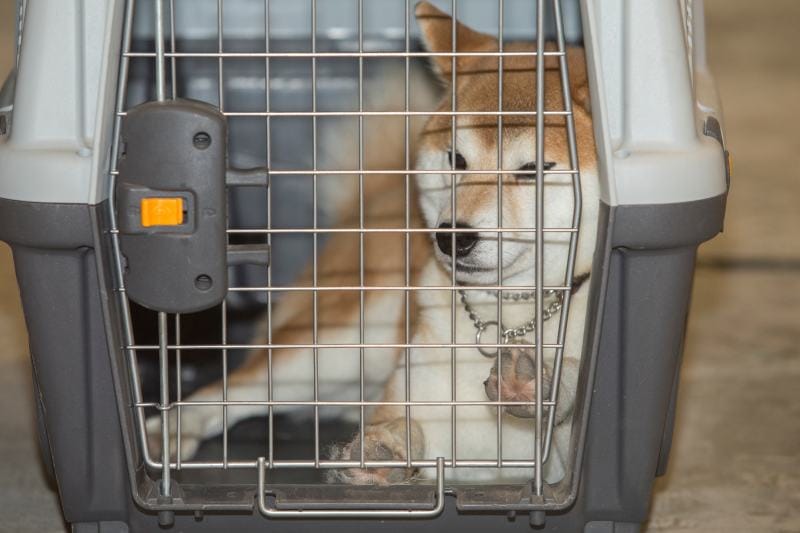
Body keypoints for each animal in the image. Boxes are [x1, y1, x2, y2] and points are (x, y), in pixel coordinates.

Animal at [152, 1, 600, 486]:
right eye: (457, 159)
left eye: (533, 169)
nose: (452, 237)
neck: (511, 314)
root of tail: (377, 197)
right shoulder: (416, 398)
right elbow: (403, 424)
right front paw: (382, 449)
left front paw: (541, 381)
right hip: (336, 346)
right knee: (234, 387)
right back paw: (171, 429)